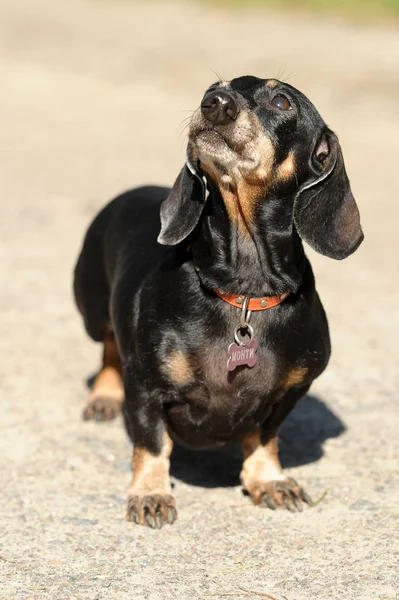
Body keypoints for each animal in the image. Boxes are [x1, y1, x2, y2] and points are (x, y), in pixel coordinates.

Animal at [73, 76, 364, 528]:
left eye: (282, 101)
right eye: (214, 86)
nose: (215, 103)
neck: (244, 289)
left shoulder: (293, 391)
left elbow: (265, 437)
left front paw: (269, 480)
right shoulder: (146, 385)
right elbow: (152, 442)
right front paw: (150, 493)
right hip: (91, 308)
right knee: (108, 347)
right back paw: (104, 397)